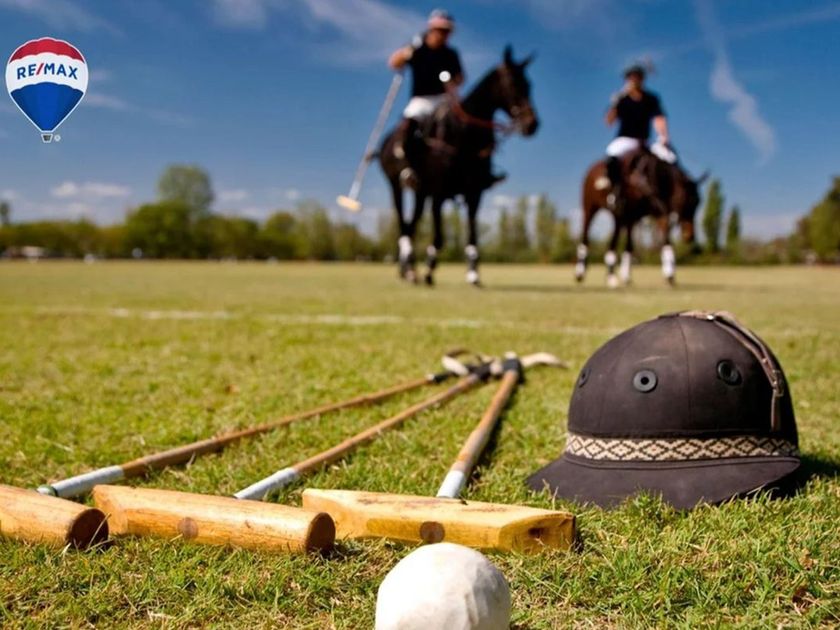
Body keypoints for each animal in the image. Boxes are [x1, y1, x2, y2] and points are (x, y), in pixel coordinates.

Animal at [379, 45, 539, 286]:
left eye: (529, 84)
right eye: (512, 84)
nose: (532, 124)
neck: (463, 137)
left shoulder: (474, 193)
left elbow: (472, 235)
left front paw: (473, 274)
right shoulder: (438, 194)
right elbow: (439, 237)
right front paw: (429, 271)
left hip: (420, 193)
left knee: (411, 224)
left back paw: (407, 269)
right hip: (396, 185)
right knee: (403, 225)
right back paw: (409, 269)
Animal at [575, 149, 707, 287]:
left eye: (698, 202)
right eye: (687, 200)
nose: (689, 236)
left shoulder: (651, 215)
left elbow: (664, 242)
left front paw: (669, 274)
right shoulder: (629, 213)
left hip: (619, 216)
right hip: (590, 207)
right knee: (587, 236)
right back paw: (583, 273)